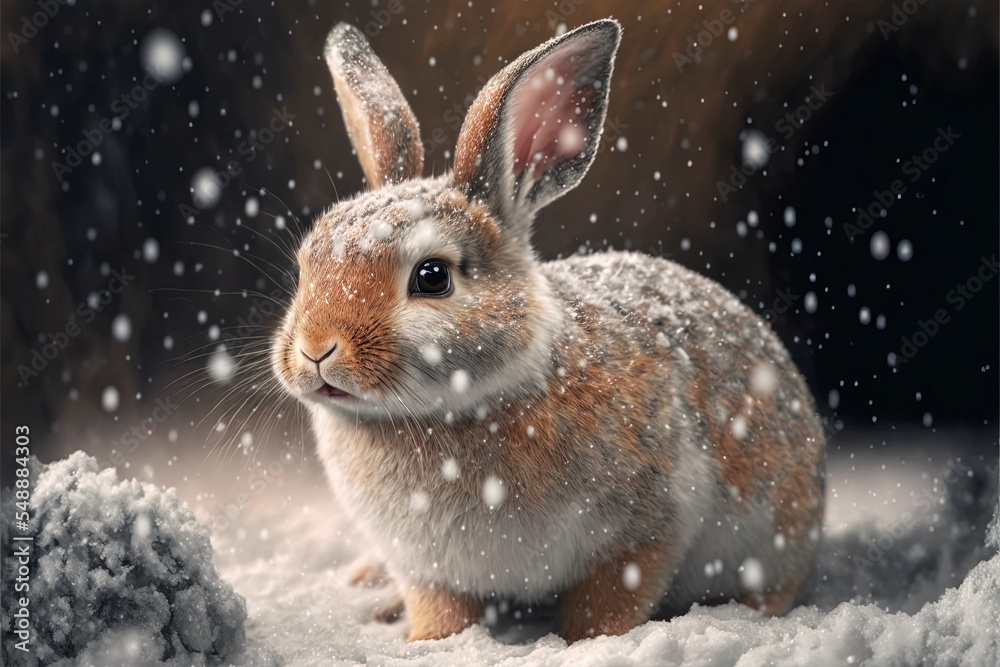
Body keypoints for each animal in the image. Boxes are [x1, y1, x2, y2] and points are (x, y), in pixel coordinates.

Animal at [271, 18, 826, 643]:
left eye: (432, 277)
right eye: (306, 265)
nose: (315, 350)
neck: (456, 411)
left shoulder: (646, 528)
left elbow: (607, 604)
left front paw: (589, 645)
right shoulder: (427, 569)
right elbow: (442, 611)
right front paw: (424, 641)